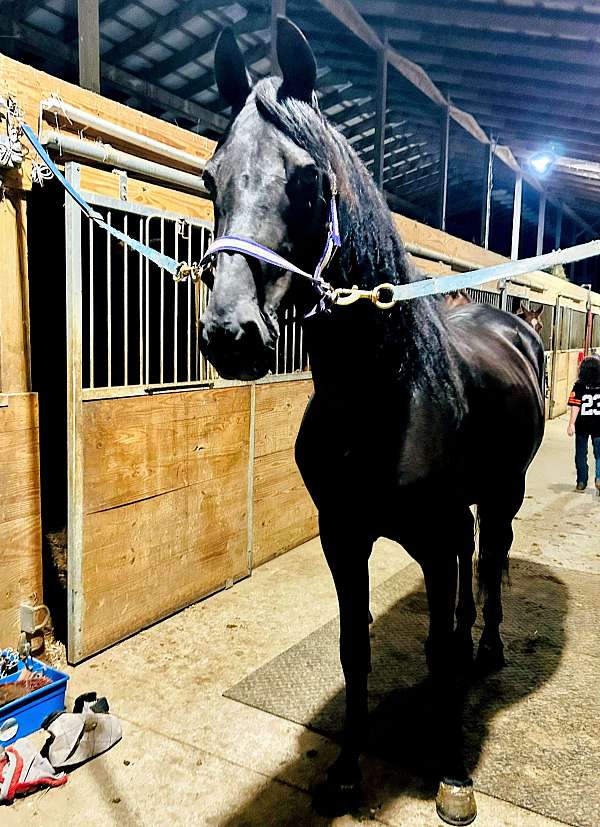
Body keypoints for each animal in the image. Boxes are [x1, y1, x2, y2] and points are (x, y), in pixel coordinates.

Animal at [199, 18, 545, 825]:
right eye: (209, 176)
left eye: (306, 179)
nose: (232, 334)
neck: (383, 395)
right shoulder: (343, 535)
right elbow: (354, 648)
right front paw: (347, 769)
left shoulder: (439, 538)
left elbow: (443, 646)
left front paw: (454, 773)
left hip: (501, 496)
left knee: (492, 564)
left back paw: (489, 648)